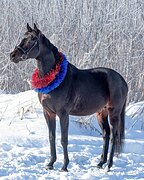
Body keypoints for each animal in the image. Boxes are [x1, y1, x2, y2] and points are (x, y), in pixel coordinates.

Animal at [9, 23, 128, 172]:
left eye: (32, 39)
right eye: (23, 37)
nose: (13, 55)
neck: (54, 78)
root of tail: (122, 80)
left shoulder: (63, 114)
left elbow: (64, 139)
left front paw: (64, 166)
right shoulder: (48, 113)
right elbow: (51, 137)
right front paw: (50, 164)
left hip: (114, 113)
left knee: (113, 136)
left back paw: (109, 165)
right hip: (101, 113)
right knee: (106, 135)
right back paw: (100, 163)